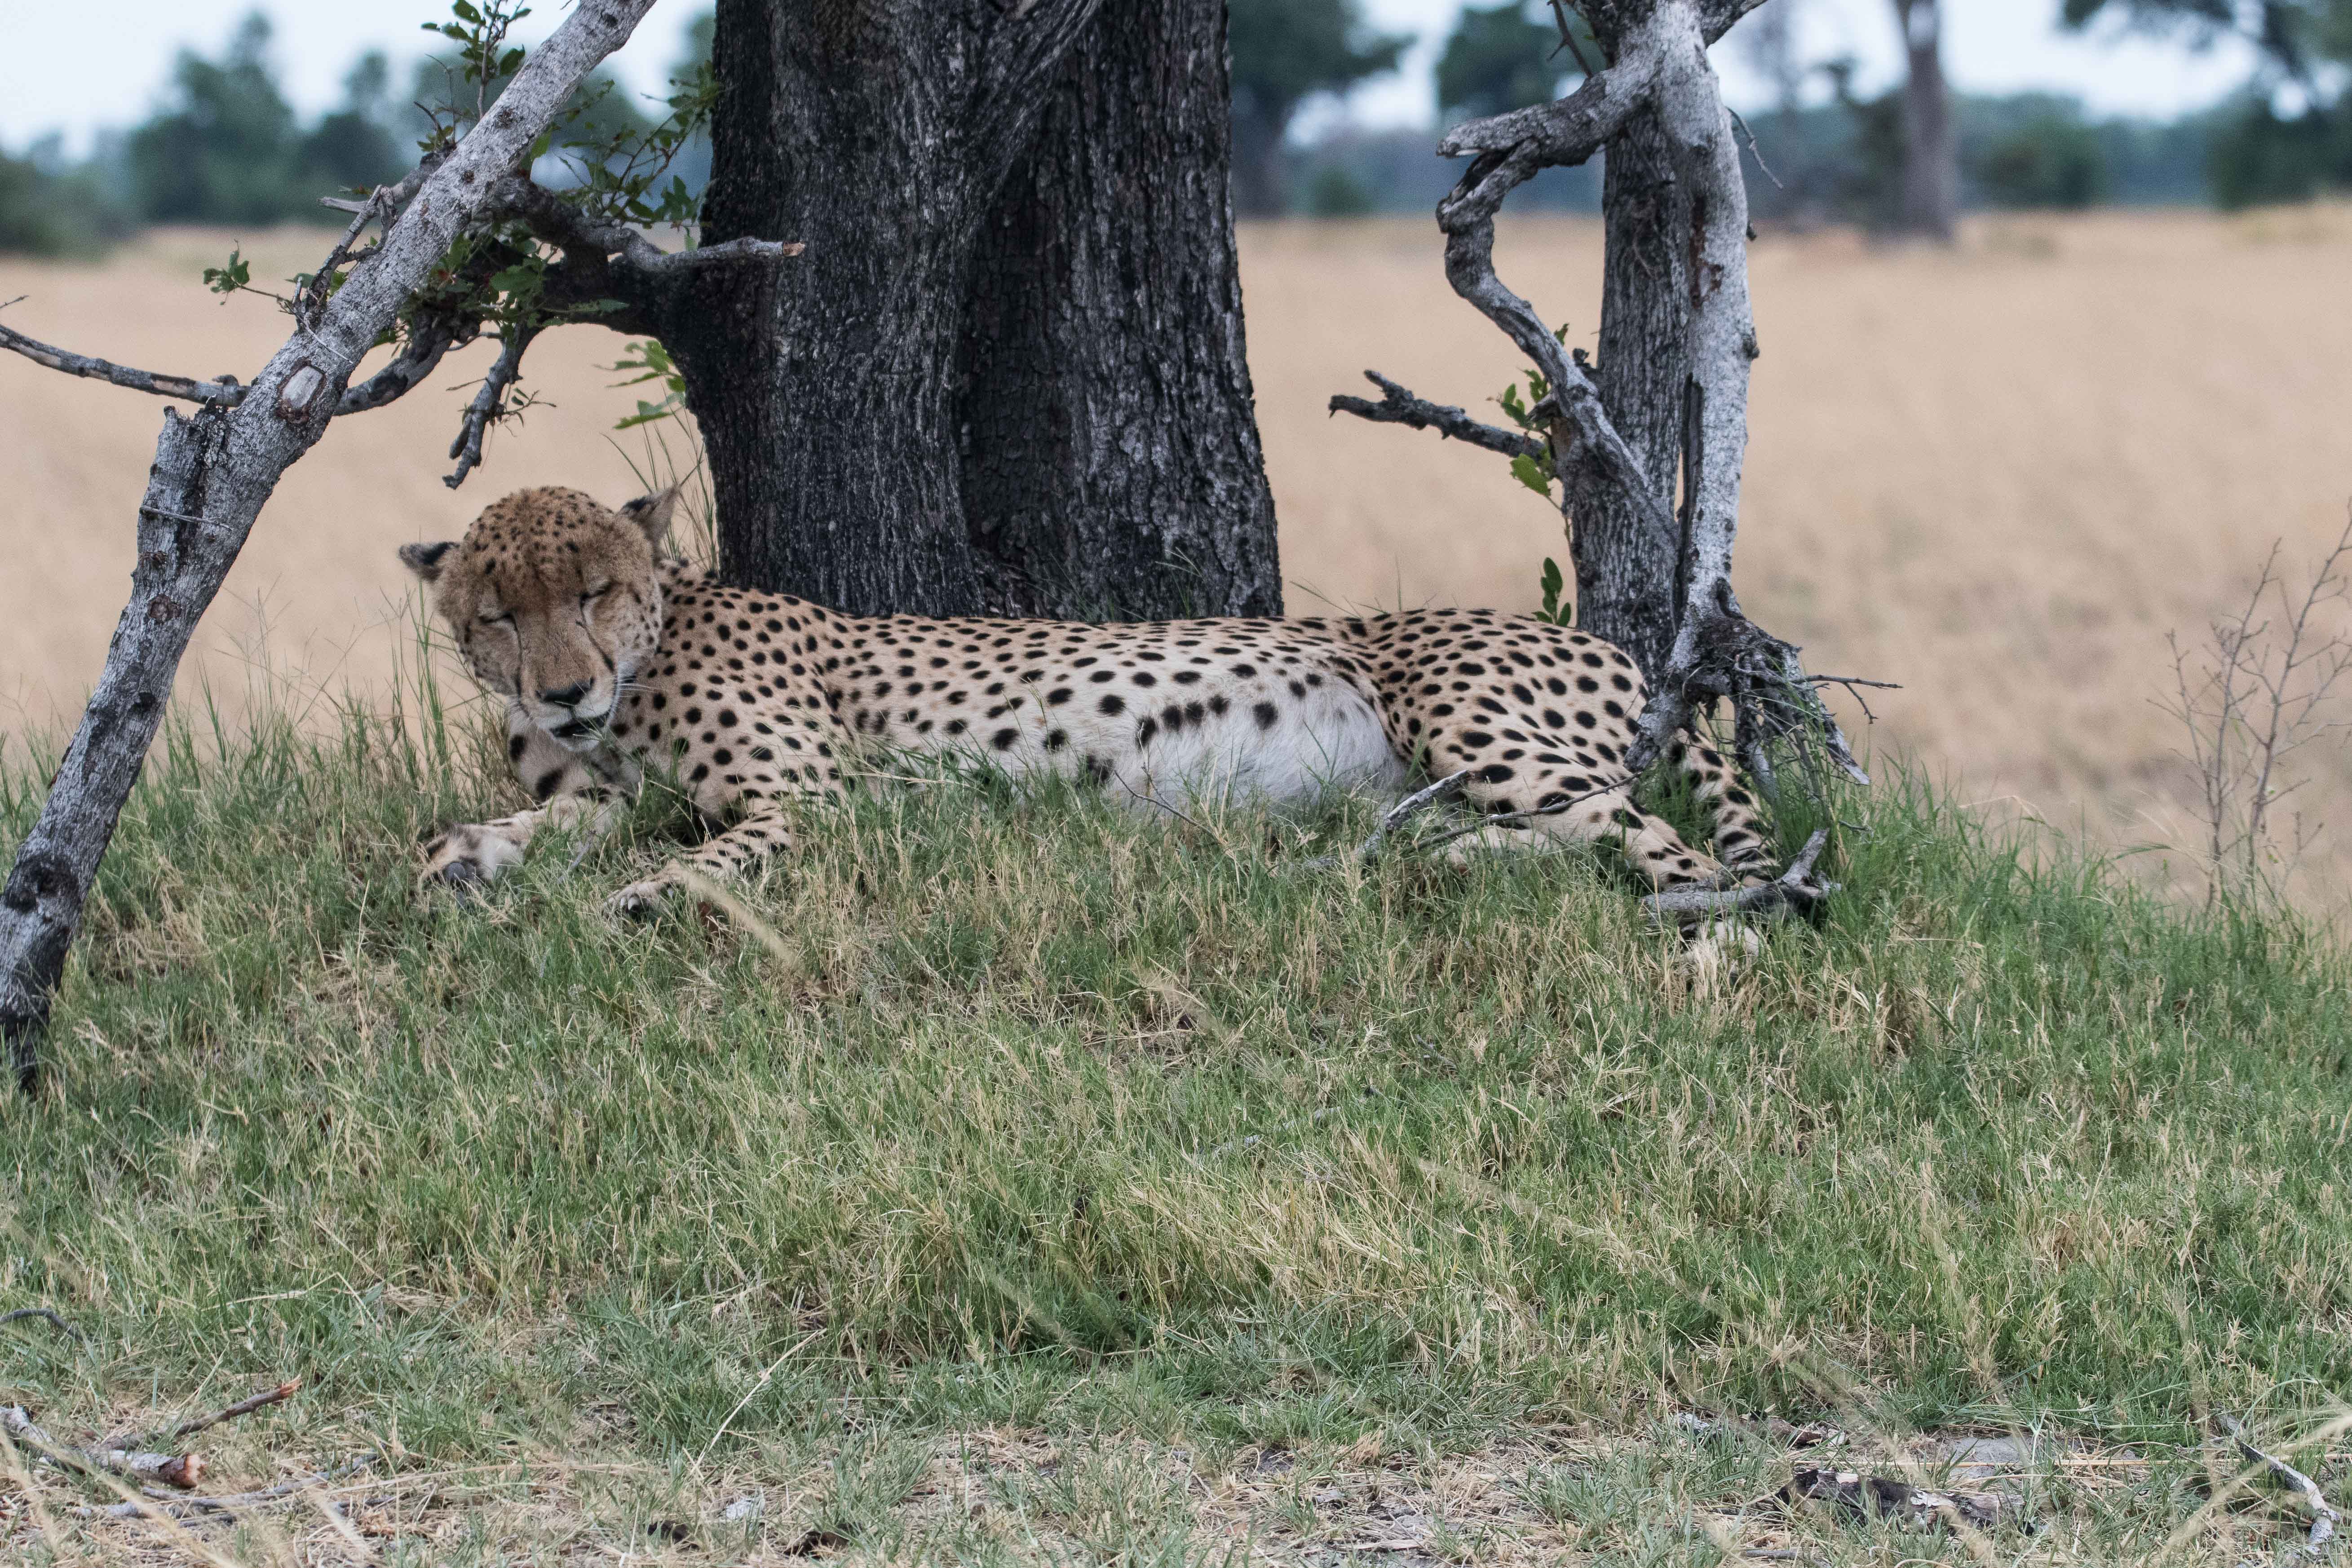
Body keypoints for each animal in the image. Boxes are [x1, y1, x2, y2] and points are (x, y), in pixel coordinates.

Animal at [400, 484, 1768, 912]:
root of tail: (1608, 642)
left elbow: (718, 848)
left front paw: (652, 895)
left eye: (594, 590)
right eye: (497, 615)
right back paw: (1432, 862)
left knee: (1668, 846)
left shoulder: (823, 795)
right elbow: (533, 822)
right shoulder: (599, 787)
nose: (563, 691)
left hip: (1465, 714)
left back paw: (1716, 935)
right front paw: (466, 856)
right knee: (1567, 832)